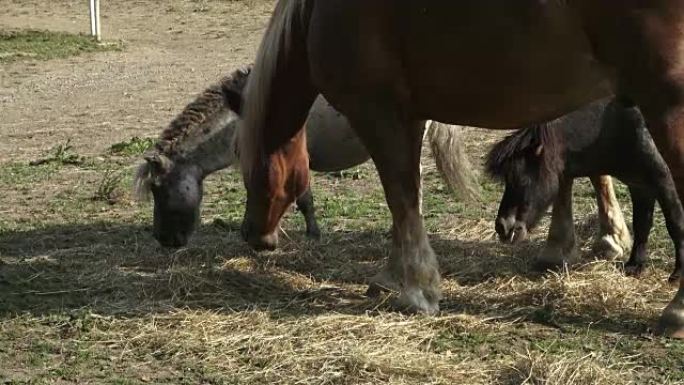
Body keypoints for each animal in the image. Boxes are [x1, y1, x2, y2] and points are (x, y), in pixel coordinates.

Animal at [486, 96, 684, 282]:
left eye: (523, 181)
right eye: (507, 180)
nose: (502, 227)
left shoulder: (665, 183)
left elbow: (675, 224)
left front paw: (678, 274)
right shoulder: (639, 186)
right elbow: (641, 225)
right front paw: (635, 265)